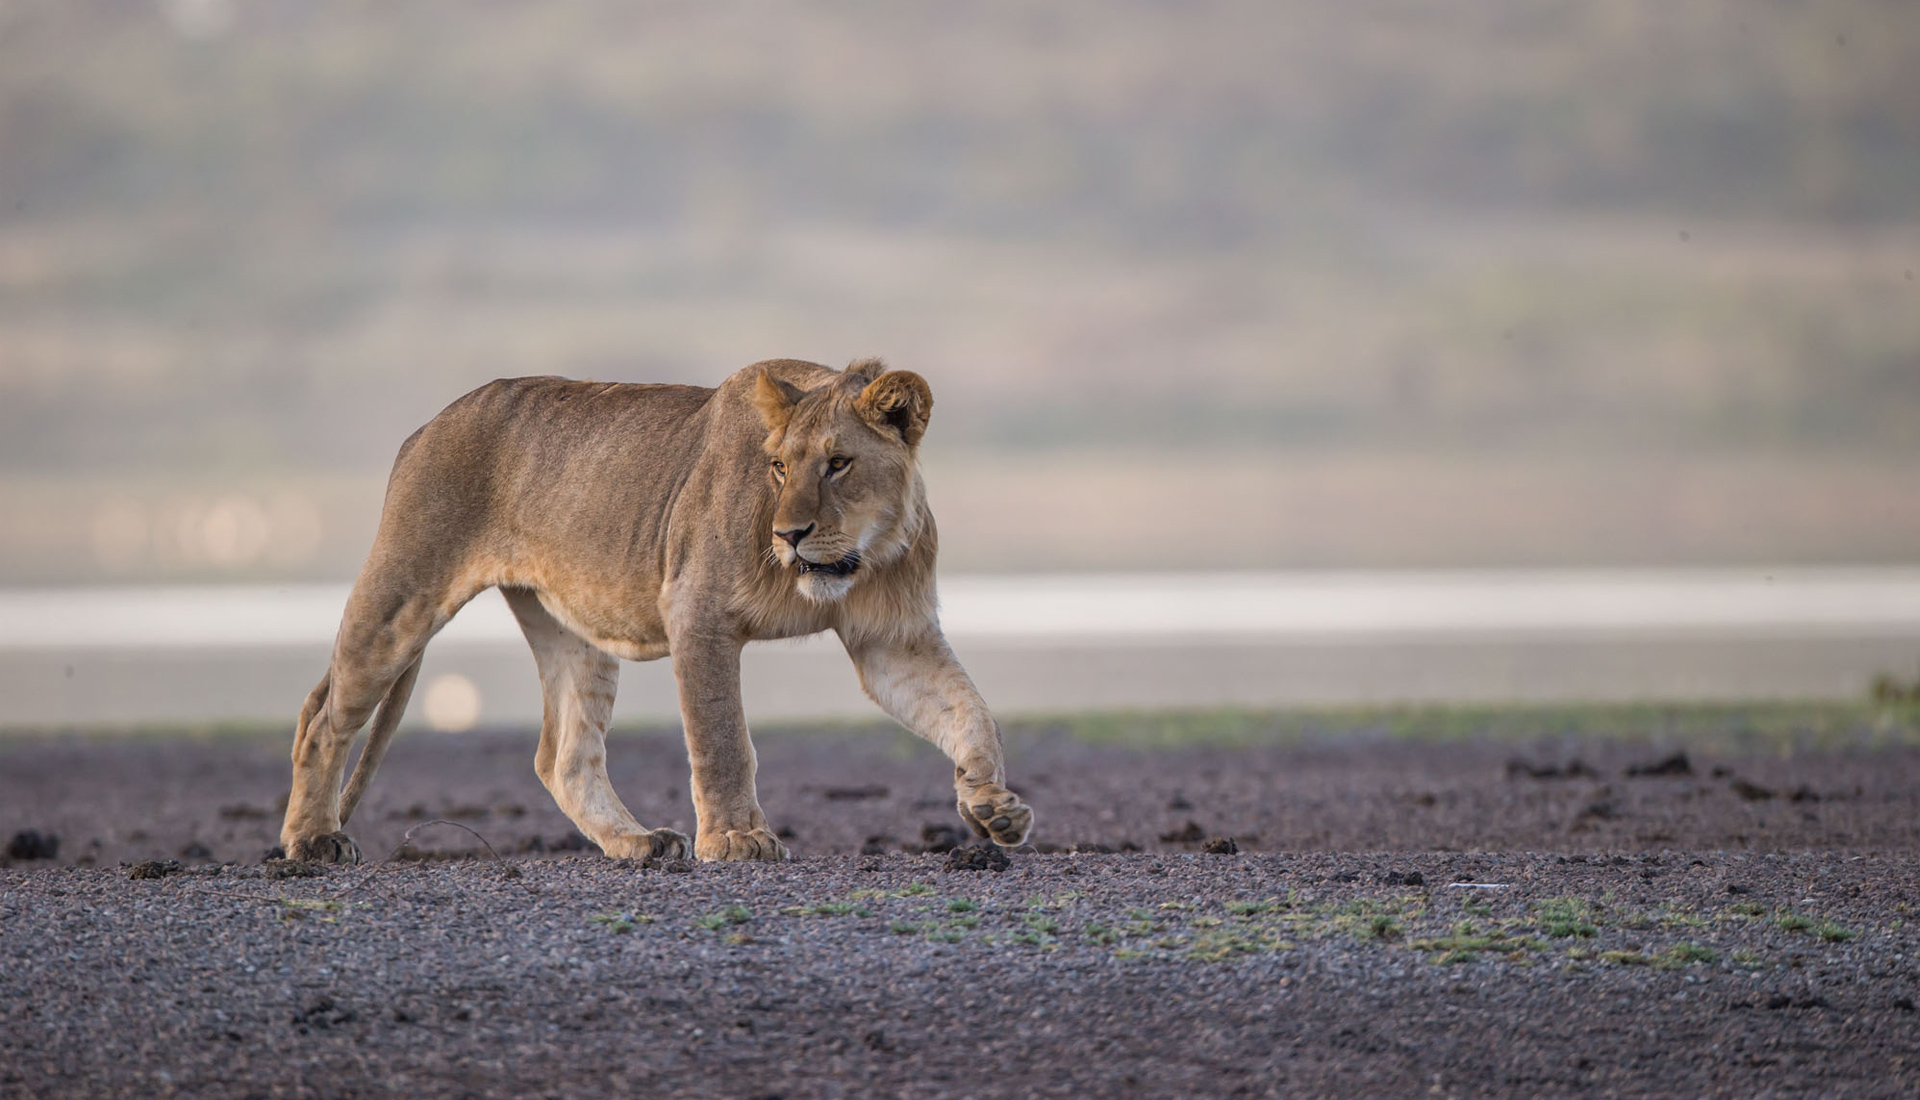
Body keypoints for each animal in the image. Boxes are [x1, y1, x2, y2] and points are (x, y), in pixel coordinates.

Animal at [280, 355, 1036, 863]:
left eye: (839, 464)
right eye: (779, 468)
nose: (789, 535)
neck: (866, 553)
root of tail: (426, 426)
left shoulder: (892, 640)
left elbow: (970, 711)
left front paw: (992, 807)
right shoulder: (696, 610)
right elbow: (722, 738)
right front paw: (736, 839)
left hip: (571, 629)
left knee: (564, 756)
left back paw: (638, 843)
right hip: (402, 594)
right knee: (321, 715)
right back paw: (313, 841)